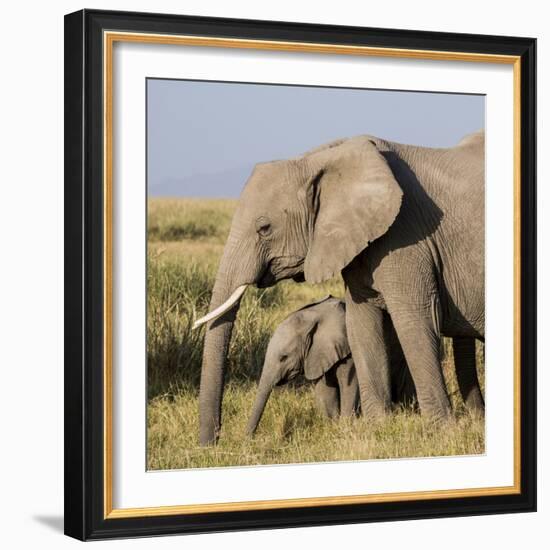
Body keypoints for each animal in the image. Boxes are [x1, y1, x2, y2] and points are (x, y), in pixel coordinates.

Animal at [247, 298, 362, 436]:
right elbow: (325, 390)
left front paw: (345, 427)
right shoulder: (317, 354)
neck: (314, 315)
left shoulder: (348, 351)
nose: (248, 438)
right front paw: (332, 427)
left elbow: (349, 385)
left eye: (283, 357)